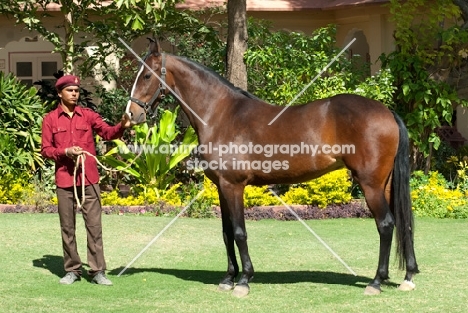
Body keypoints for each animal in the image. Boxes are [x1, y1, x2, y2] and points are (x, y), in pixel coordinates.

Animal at [123, 40, 416, 296]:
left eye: (146, 75)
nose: (131, 115)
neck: (221, 114)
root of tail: (387, 112)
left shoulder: (233, 186)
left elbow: (239, 232)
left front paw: (244, 280)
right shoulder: (221, 187)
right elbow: (226, 232)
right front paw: (228, 278)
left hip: (370, 185)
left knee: (386, 224)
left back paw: (376, 282)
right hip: (385, 184)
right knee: (403, 224)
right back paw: (408, 276)